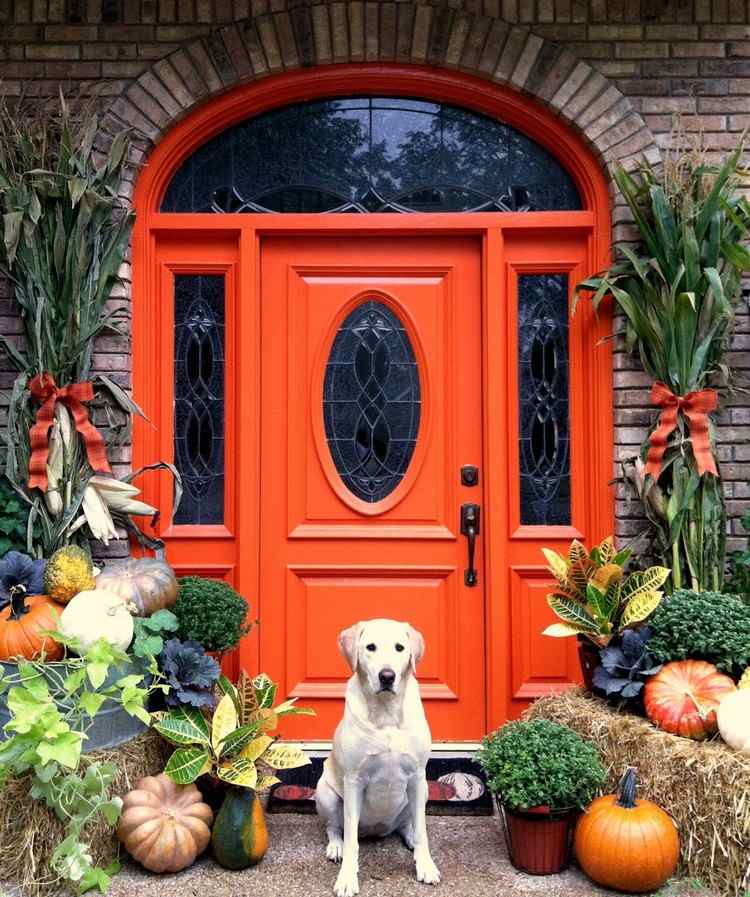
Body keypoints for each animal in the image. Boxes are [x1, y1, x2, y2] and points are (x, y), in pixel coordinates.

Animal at [316, 620, 440, 896]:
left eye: (400, 648)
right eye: (370, 647)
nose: (387, 676)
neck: (386, 713)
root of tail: (375, 830)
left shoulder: (418, 777)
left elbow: (424, 832)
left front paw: (425, 865)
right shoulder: (353, 780)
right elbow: (351, 840)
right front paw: (347, 878)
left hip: (423, 792)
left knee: (408, 825)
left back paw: (410, 838)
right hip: (325, 792)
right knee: (335, 828)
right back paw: (336, 847)